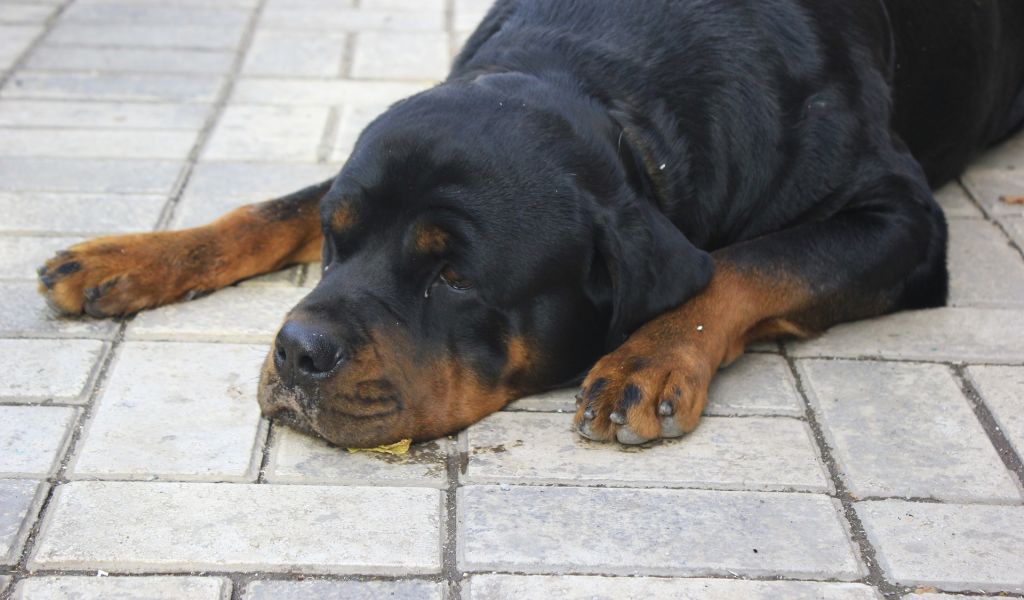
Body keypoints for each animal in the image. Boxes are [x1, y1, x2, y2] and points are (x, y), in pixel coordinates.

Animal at [36, 0, 1024, 446]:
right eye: (340, 237)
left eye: (454, 276)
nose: (297, 352)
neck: (612, 86)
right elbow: (276, 204)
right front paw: (129, 254)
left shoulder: (902, 218)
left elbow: (749, 262)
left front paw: (652, 356)